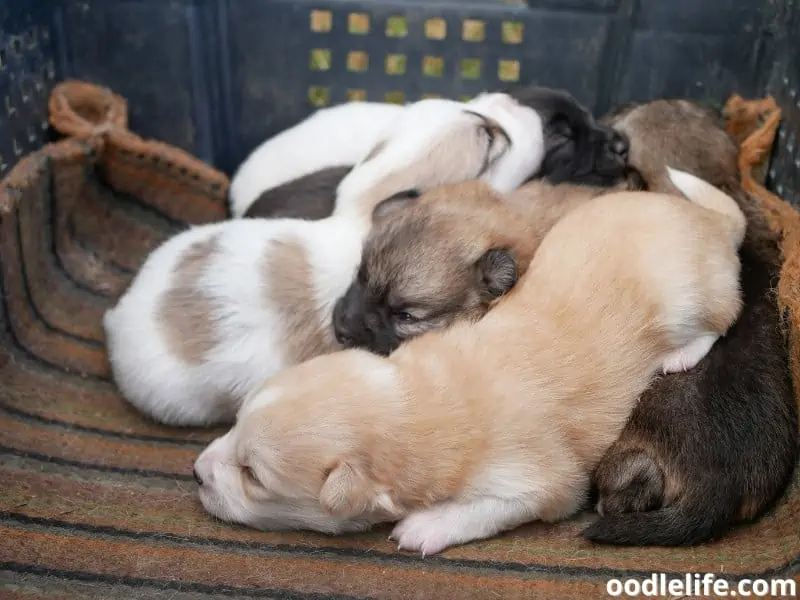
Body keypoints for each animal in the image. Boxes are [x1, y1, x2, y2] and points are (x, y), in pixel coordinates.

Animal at [191, 168, 748, 552]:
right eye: (234, 426)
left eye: (253, 476)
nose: (194, 472)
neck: (413, 399)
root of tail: (712, 220)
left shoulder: (545, 486)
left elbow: (484, 508)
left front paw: (426, 525)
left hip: (689, 297)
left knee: (721, 320)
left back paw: (680, 354)